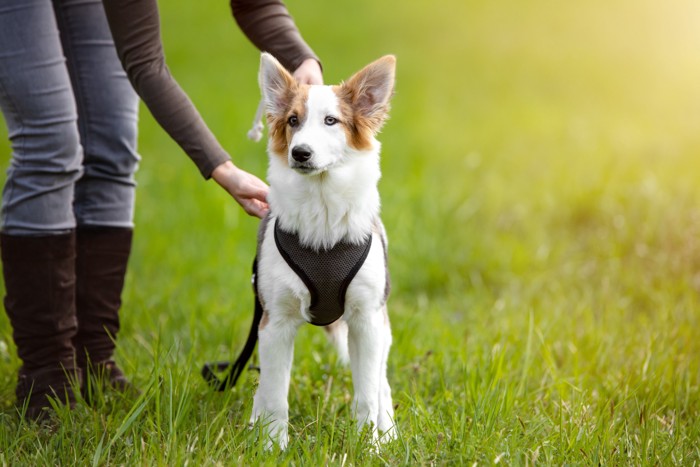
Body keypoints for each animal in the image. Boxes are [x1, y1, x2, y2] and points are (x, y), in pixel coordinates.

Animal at [252, 53, 396, 452]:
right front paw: (272, 448)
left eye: (331, 120)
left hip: (381, 328)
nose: (300, 152)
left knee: (381, 384)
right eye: (293, 121)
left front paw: (368, 447)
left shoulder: (366, 320)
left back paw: (389, 432)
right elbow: (275, 396)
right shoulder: (275, 323)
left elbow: (366, 395)